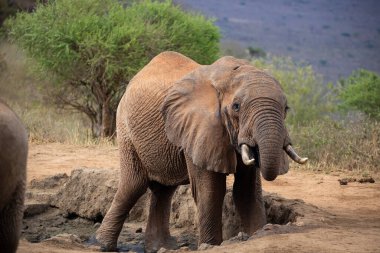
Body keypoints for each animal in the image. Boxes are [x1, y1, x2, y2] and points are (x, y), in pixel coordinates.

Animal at [96, 51, 308, 251]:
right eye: (236, 107)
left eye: (286, 108)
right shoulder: (199, 129)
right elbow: (210, 191)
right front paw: (210, 246)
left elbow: (246, 191)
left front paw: (260, 234)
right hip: (125, 127)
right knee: (134, 185)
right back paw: (103, 245)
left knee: (163, 190)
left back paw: (161, 248)